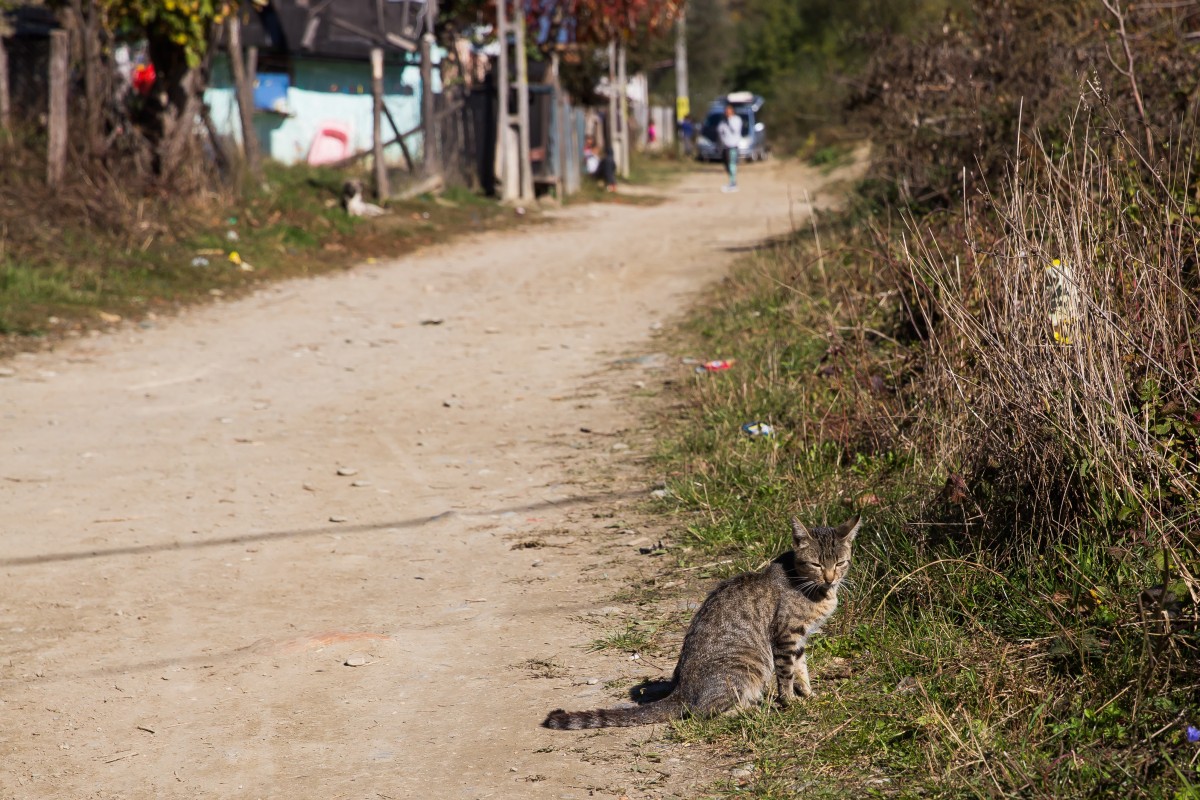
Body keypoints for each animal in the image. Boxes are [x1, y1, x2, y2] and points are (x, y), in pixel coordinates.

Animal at [540, 515, 859, 729]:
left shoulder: (800, 639)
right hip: (748, 664)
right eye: (816, 564)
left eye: (840, 563)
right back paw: (748, 711)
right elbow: (787, 673)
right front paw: (790, 701)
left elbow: (801, 669)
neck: (814, 589)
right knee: (701, 713)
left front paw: (808, 693)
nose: (831, 577)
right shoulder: (785, 635)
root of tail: (681, 689)